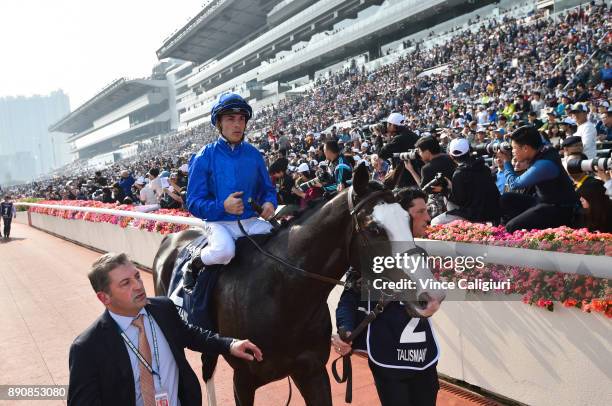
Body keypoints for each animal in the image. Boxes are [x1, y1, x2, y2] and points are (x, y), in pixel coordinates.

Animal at [152, 163, 440, 404]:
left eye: (408, 220)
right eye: (374, 229)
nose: (430, 297)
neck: (282, 297)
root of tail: (171, 238)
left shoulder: (313, 372)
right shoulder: (242, 380)